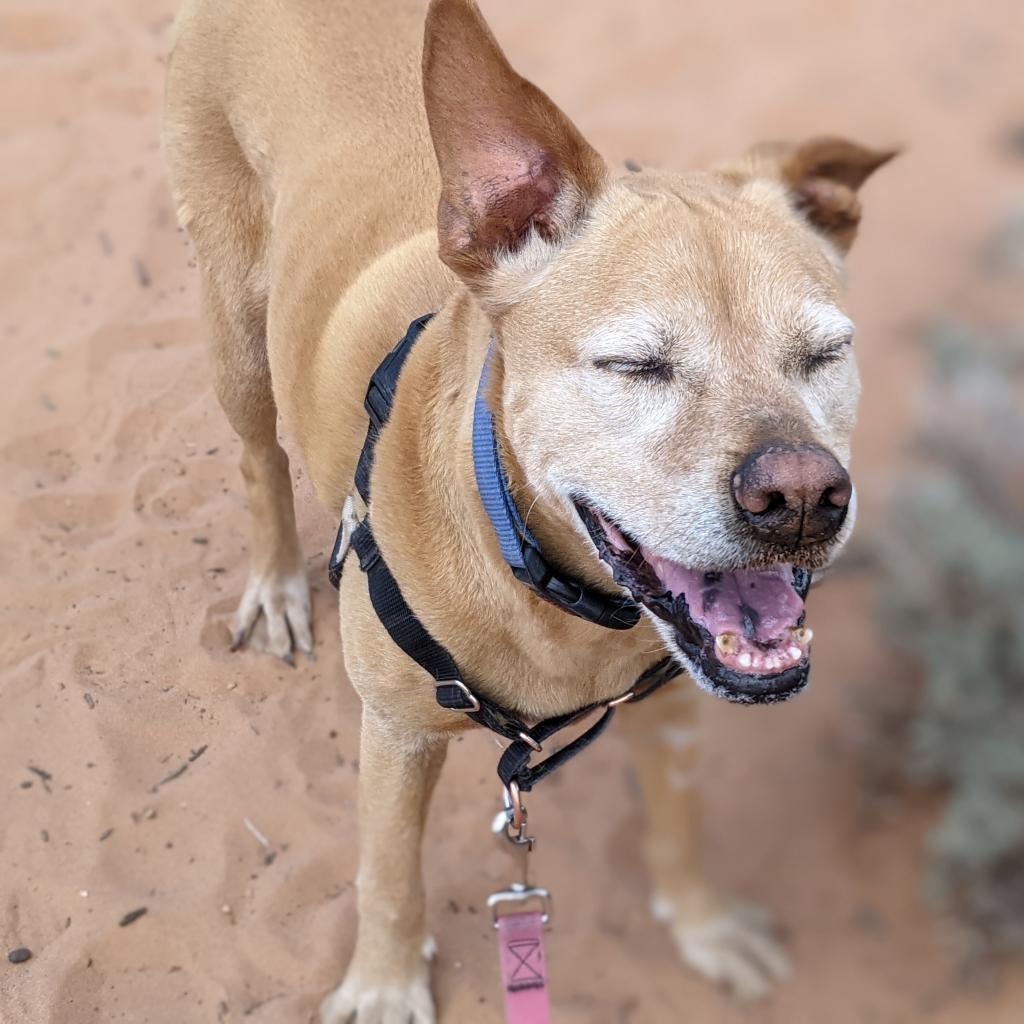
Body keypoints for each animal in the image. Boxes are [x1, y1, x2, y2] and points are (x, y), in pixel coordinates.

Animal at [163, 0, 892, 1015]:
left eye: (825, 353)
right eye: (634, 365)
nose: (802, 499)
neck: (550, 592)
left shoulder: (675, 707)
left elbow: (680, 826)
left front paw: (703, 925)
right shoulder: (395, 736)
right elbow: (388, 875)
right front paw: (385, 985)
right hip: (235, 330)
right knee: (257, 459)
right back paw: (273, 581)